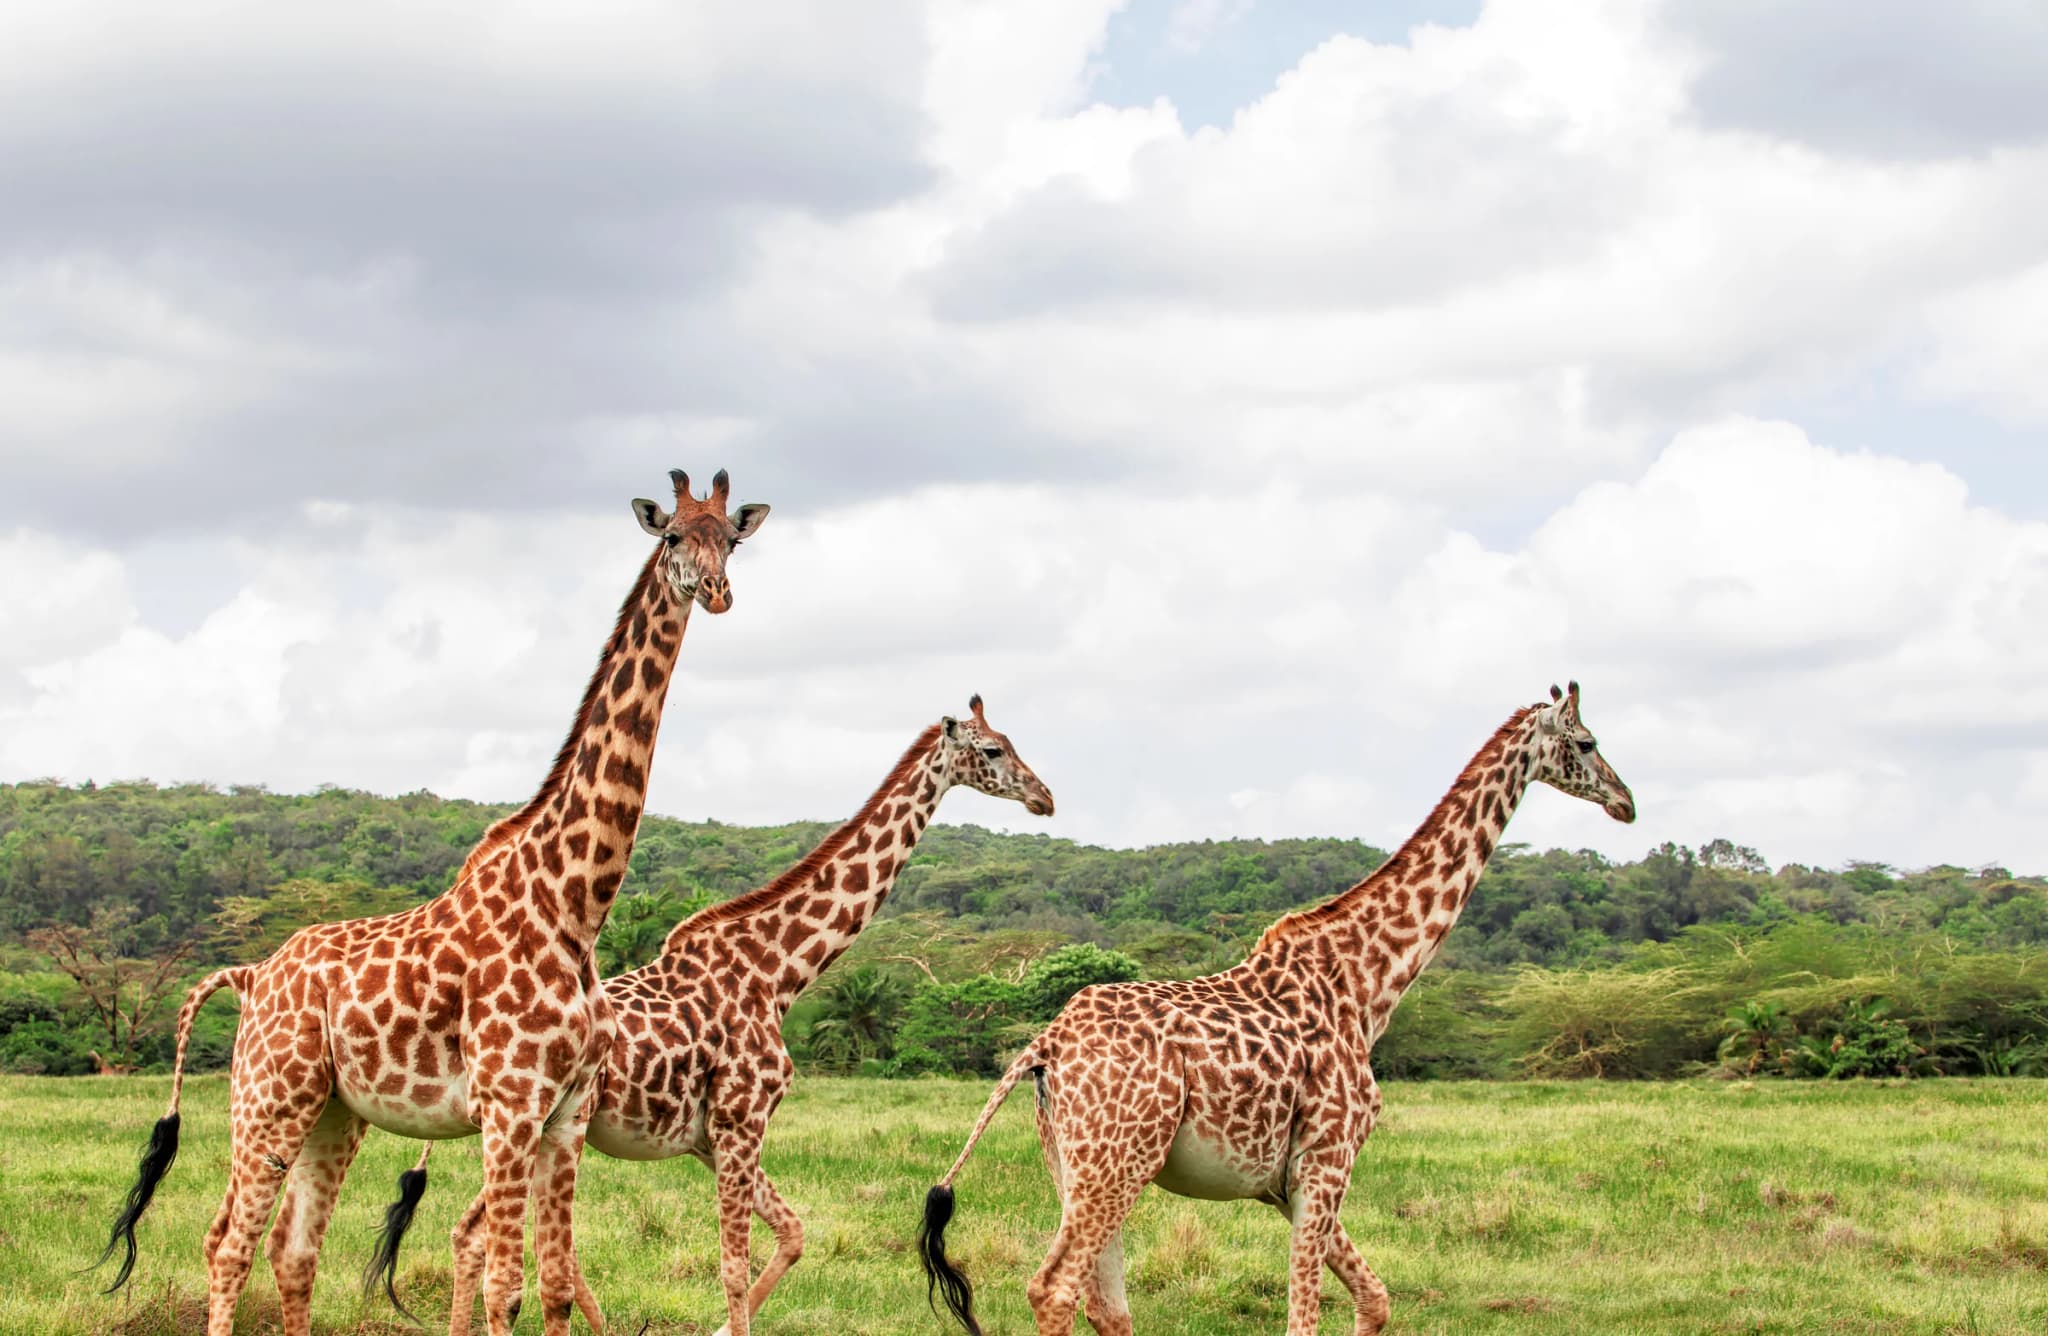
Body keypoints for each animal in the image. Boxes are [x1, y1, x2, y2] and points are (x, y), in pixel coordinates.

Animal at [95, 468, 769, 1336]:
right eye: (674, 537)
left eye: (734, 539)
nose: (717, 592)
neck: (573, 905)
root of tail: (249, 975)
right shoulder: (510, 1106)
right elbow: (504, 1286)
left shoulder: (565, 1113)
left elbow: (553, 1284)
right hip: (267, 1098)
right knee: (226, 1244)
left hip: (333, 1111)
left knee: (292, 1250)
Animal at [378, 695, 1055, 1336]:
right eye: (993, 750)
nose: (1045, 797)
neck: (777, 971)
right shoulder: (742, 1122)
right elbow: (734, 1265)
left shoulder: (711, 1138)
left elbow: (793, 1233)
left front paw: (718, 1327)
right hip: (532, 1123)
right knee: (482, 1235)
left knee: (480, 1236)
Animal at [920, 682, 1636, 1336]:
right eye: (1587, 742)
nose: (1625, 802)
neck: (1367, 984)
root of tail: (1046, 1047)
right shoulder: (1328, 1159)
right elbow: (1305, 1319)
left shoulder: (1285, 1181)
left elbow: (1376, 1301)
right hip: (1119, 1159)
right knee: (1055, 1289)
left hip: (1077, 1163)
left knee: (1106, 1305)